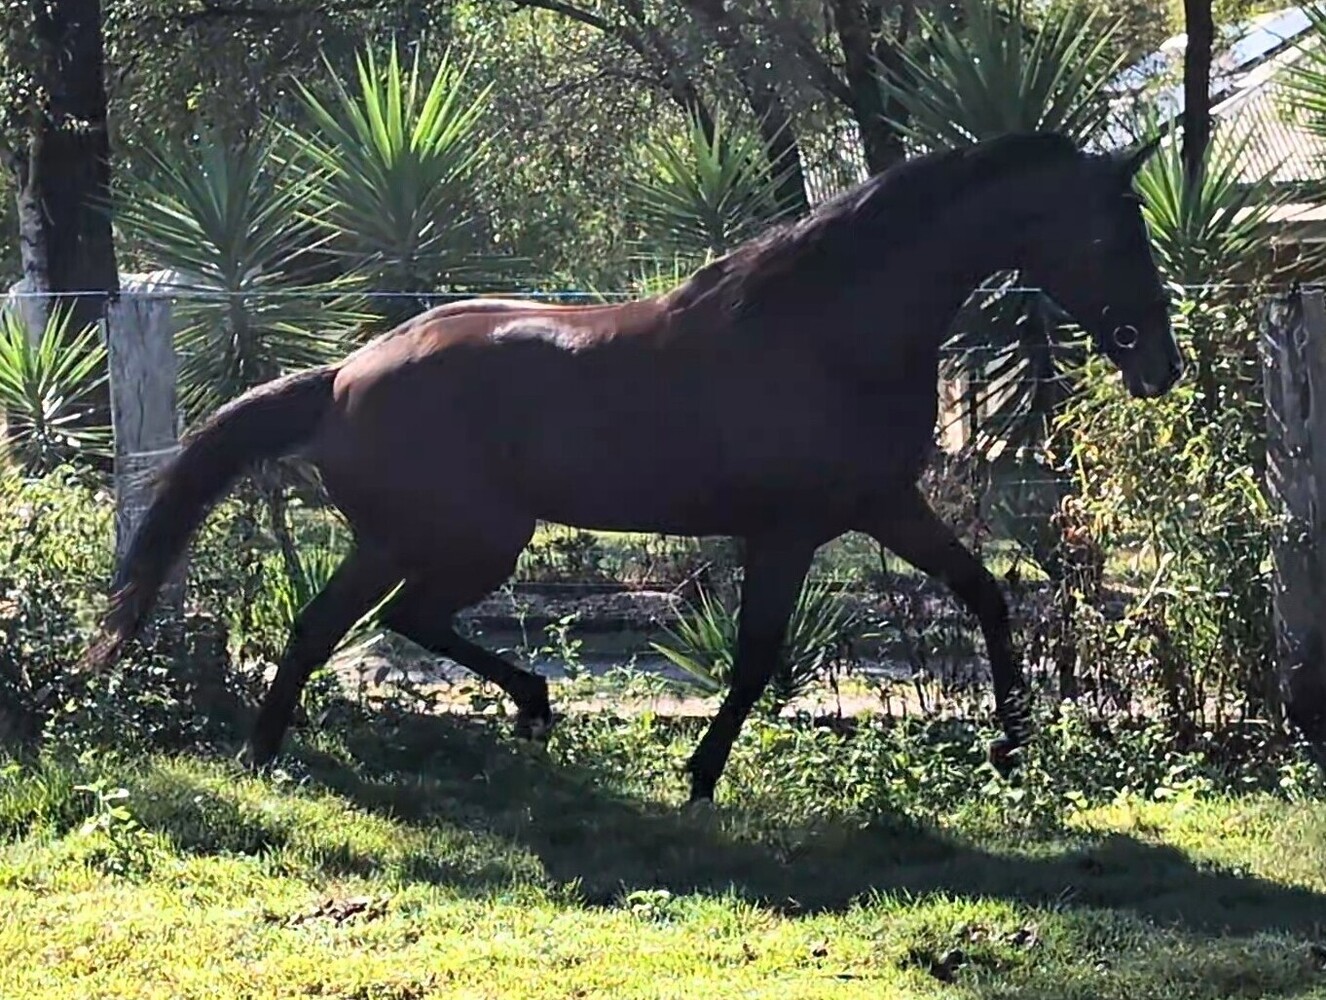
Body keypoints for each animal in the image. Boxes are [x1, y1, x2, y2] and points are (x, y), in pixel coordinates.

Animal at [80, 130, 1183, 803]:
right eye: (1111, 229)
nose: (1161, 364)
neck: (831, 329)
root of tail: (345, 373)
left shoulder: (882, 505)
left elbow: (986, 594)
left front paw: (1010, 746)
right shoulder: (792, 530)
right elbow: (755, 658)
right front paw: (698, 776)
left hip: (427, 540)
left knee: (350, 624)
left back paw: (304, 745)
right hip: (467, 540)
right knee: (377, 621)